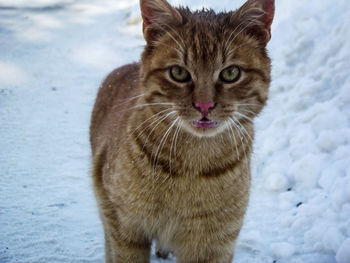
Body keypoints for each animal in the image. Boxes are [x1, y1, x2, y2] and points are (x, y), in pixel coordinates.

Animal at [89, 0, 274, 262]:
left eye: (231, 73)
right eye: (179, 73)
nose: (204, 105)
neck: (192, 166)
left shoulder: (214, 244)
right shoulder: (126, 230)